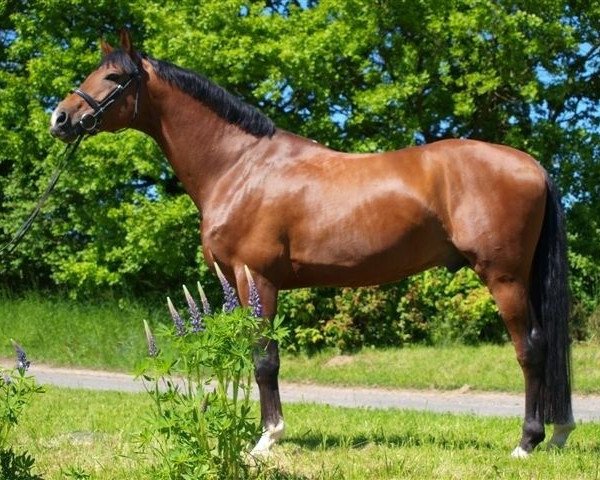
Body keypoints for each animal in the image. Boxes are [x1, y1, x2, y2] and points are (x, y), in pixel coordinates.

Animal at [49, 30, 576, 458]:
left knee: (531, 348)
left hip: (504, 277)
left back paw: (527, 442)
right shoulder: (241, 283)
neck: (240, 166)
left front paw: (267, 439)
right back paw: (557, 434)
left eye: (114, 76)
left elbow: (265, 359)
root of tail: (531, 165)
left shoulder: (256, 277)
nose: (60, 119)